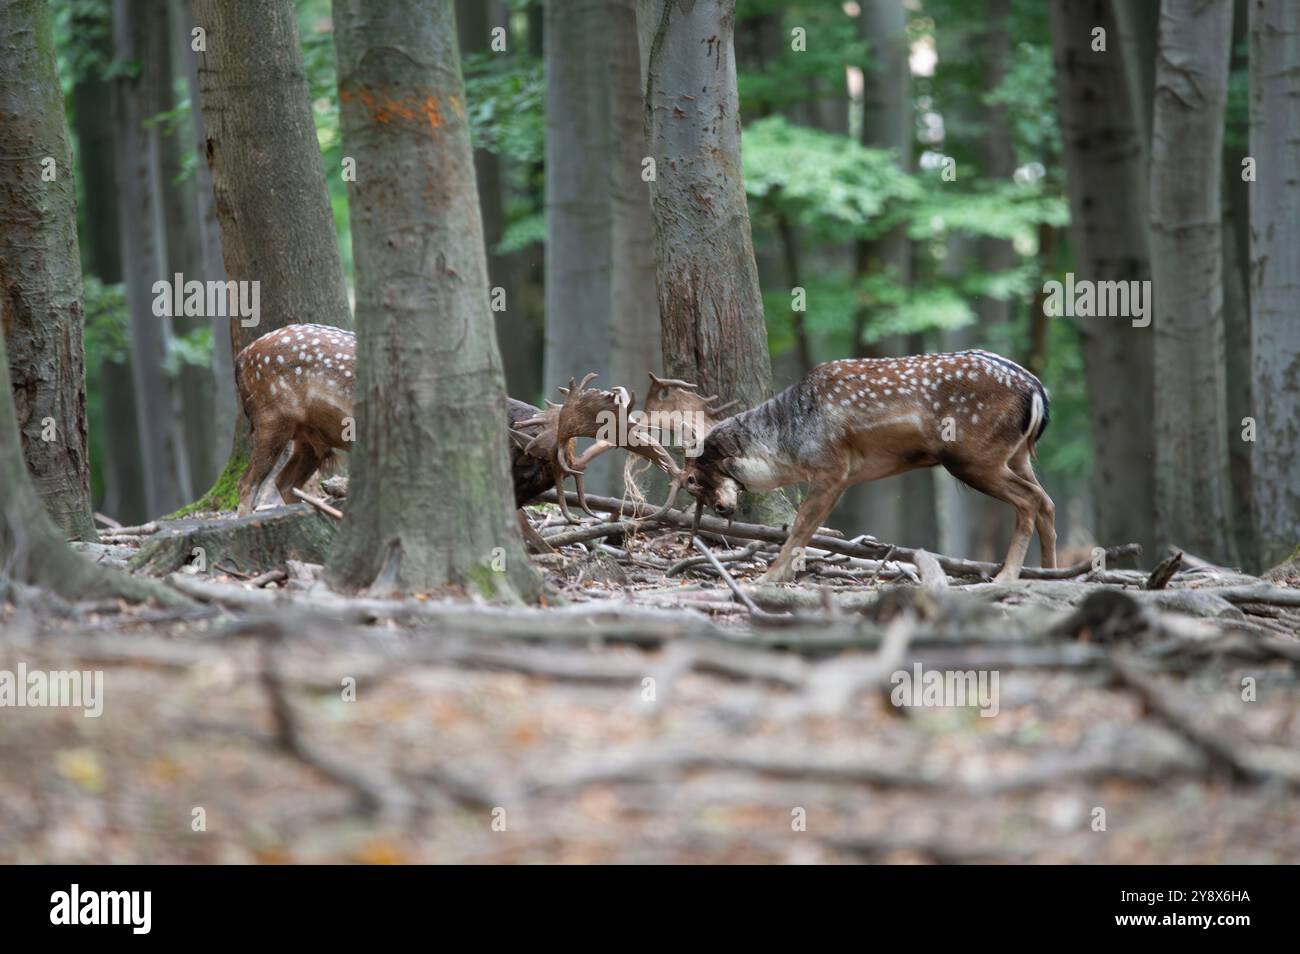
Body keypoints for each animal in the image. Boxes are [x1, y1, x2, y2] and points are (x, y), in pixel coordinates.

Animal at [680, 350, 1057, 584]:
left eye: (697, 476)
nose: (721, 508)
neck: (788, 446)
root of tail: (1037, 390)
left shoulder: (831, 467)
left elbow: (801, 526)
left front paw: (770, 577)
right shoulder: (842, 476)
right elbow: (809, 528)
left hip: (974, 457)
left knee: (1030, 499)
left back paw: (1007, 576)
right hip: (1016, 455)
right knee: (1046, 501)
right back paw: (1051, 574)